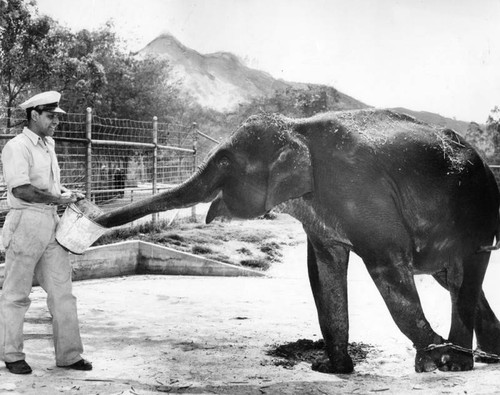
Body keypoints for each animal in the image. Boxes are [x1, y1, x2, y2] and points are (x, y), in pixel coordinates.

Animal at [96, 109, 500, 374]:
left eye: (224, 162)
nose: (87, 212)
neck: (294, 126)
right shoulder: (322, 208)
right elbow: (323, 269)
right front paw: (332, 369)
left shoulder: (360, 191)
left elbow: (385, 262)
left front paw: (432, 358)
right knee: (451, 279)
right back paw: (488, 357)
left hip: (477, 212)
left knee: (463, 274)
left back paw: (456, 364)